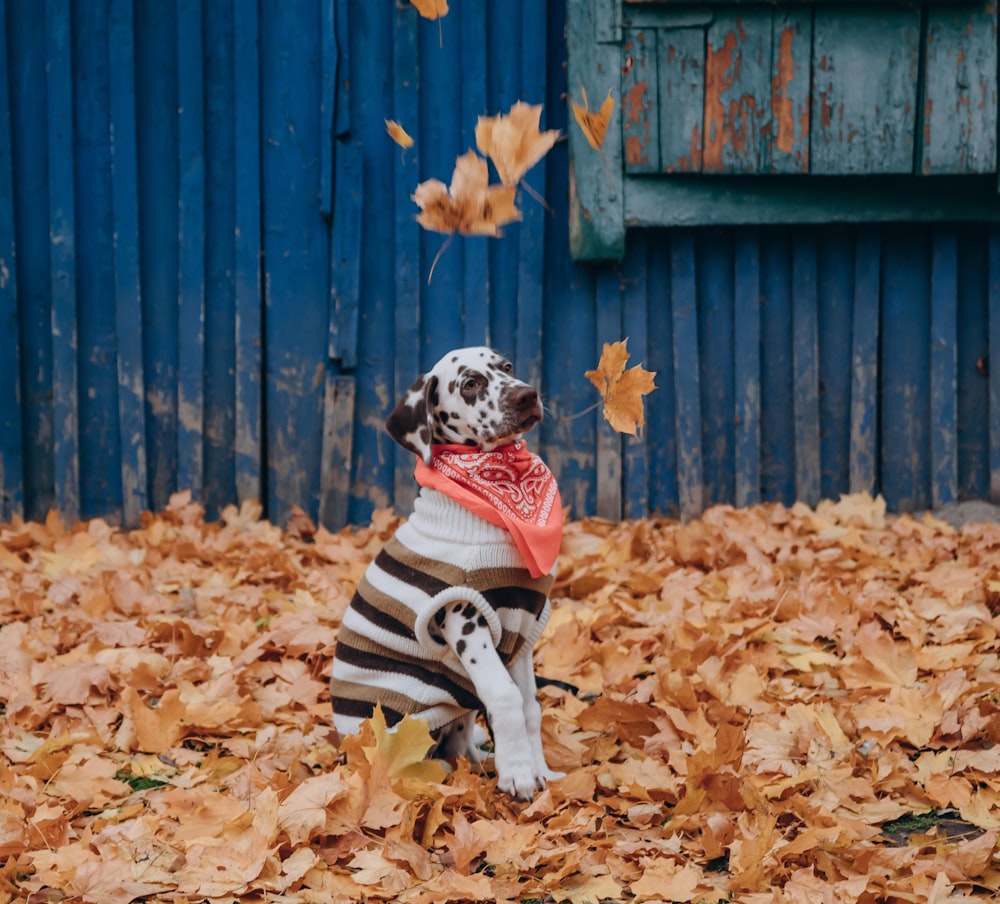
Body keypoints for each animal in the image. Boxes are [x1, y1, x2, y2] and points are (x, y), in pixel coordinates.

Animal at [328, 346, 564, 800]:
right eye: (470, 383)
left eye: (507, 367)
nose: (527, 395)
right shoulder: (466, 619)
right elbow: (505, 698)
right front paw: (519, 775)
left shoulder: (521, 630)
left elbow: (529, 705)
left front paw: (540, 770)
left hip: (460, 705)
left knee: (461, 745)